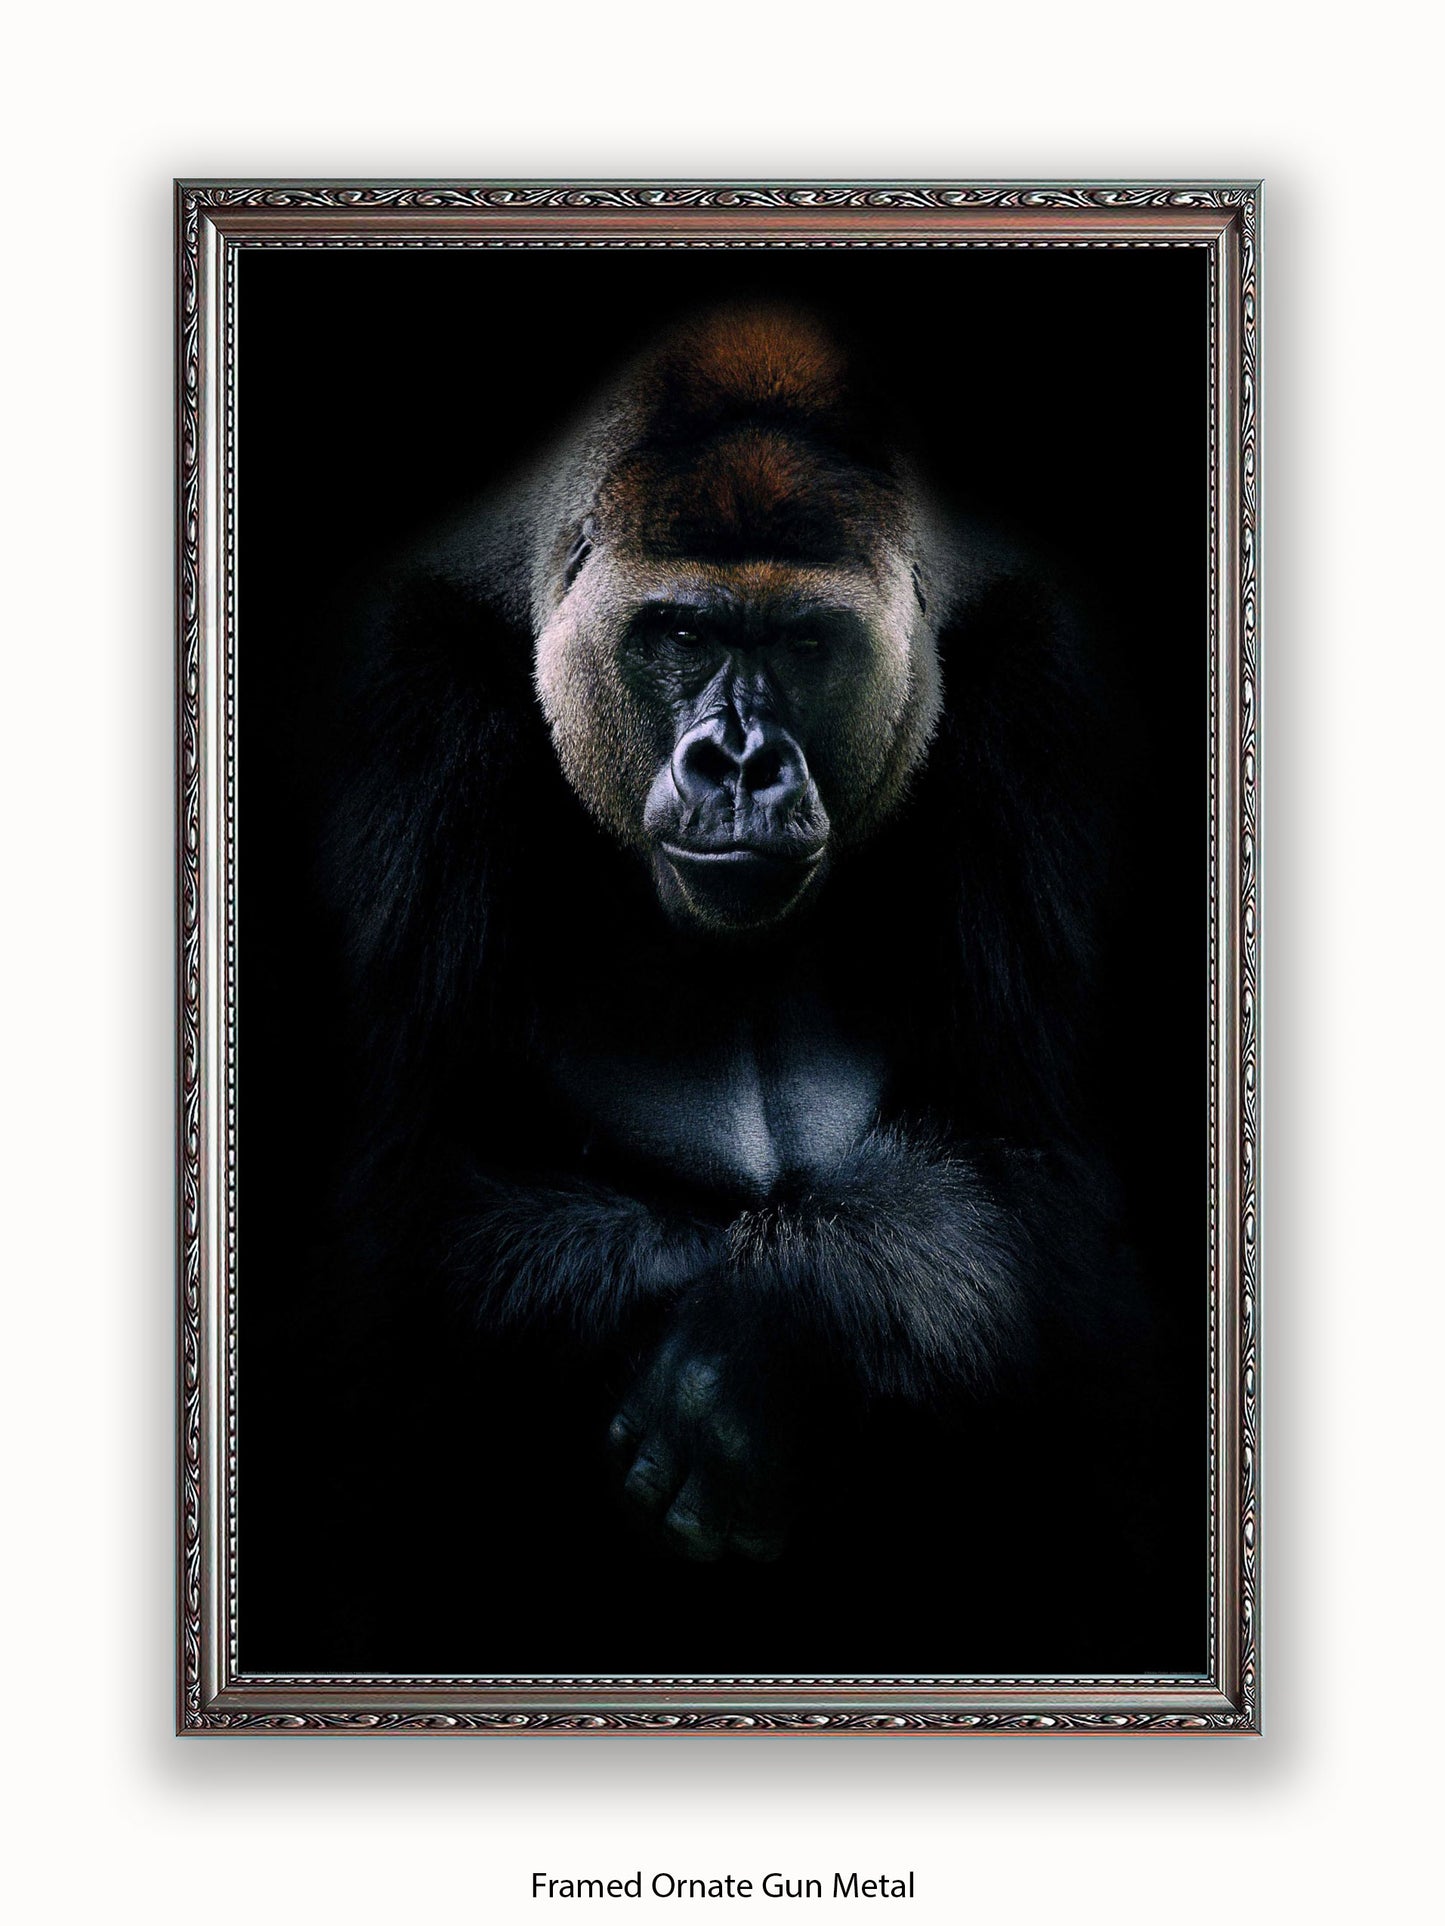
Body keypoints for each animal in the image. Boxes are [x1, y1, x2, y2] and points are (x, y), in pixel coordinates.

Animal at [311, 303, 1163, 1663]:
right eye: (681, 634)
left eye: (804, 643)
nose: (742, 762)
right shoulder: (396, 694)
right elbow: (405, 1209)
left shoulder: (1045, 681)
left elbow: (1039, 1179)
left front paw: (766, 1346)